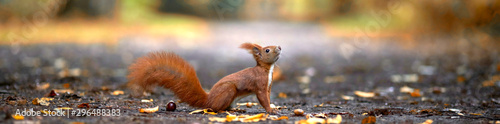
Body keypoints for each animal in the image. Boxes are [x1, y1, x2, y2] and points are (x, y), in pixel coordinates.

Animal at [127, 42, 282, 113]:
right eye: (267, 50)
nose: (279, 47)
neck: (266, 69)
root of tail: (209, 99)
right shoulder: (260, 85)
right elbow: (262, 98)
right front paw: (270, 111)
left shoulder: (268, 86)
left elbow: (267, 97)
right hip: (228, 90)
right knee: (215, 108)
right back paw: (222, 110)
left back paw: (236, 110)